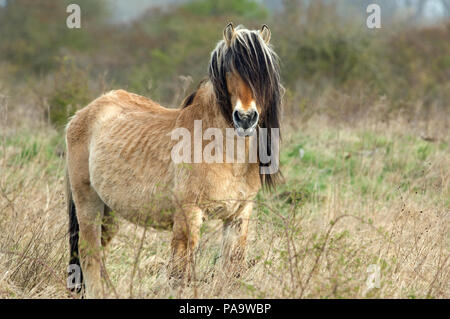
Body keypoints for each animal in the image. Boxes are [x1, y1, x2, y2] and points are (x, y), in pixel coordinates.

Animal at [65, 23, 284, 300]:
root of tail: (81, 114)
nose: (245, 118)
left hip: (108, 211)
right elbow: (179, 274)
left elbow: (232, 271)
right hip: (88, 202)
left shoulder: (239, 214)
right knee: (88, 254)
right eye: (230, 69)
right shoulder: (188, 213)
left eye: (263, 74)